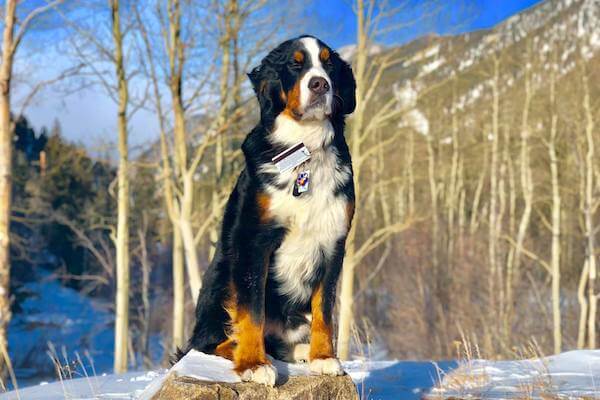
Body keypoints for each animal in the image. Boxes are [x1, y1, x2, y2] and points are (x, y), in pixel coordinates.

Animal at [177, 36, 356, 386]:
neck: (305, 149)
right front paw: (252, 363)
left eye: (328, 63)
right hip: (221, 277)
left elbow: (325, 309)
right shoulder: (252, 240)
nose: (320, 84)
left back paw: (299, 350)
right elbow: (251, 310)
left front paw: (324, 357)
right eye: (295, 65)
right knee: (207, 343)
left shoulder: (333, 242)